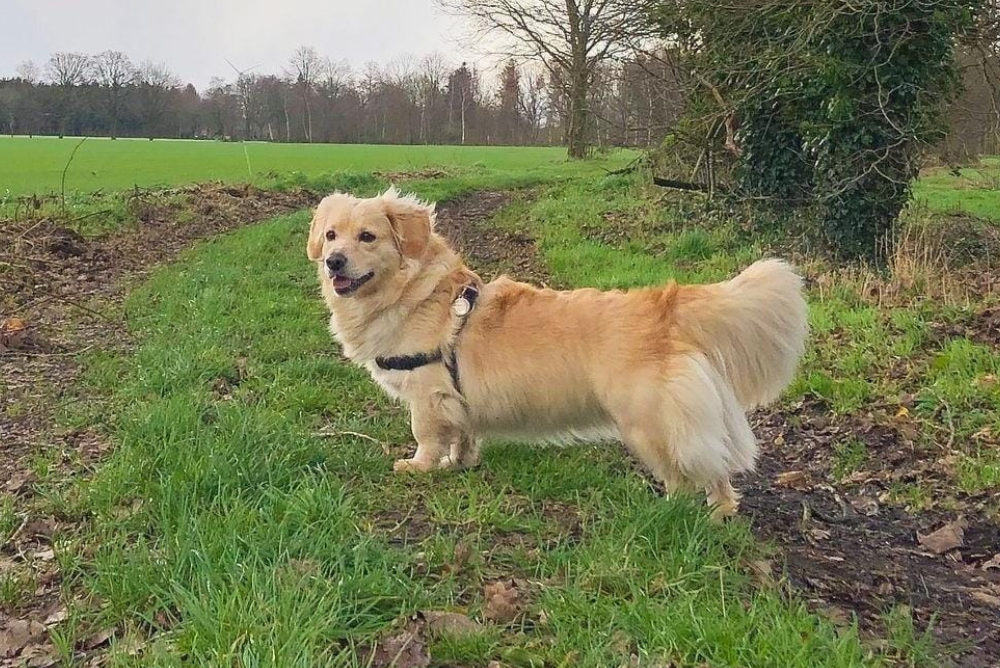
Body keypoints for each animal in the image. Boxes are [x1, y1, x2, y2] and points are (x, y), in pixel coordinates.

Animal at [308, 187, 808, 516]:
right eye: (331, 235)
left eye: (368, 237)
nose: (333, 262)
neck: (417, 293)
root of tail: (664, 303)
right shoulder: (458, 399)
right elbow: (463, 435)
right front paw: (459, 464)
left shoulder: (429, 394)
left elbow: (426, 436)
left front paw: (419, 467)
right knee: (716, 471)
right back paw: (719, 517)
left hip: (650, 423)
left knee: (690, 475)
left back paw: (677, 514)